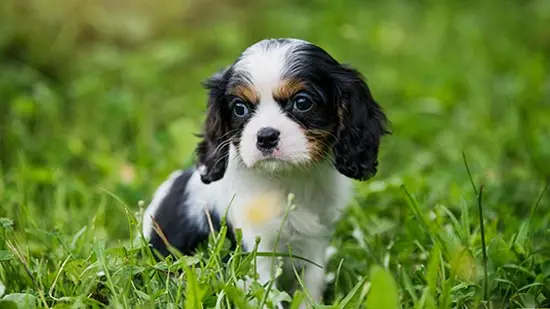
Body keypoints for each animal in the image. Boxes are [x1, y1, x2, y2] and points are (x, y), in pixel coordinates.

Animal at [144, 37, 390, 306]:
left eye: (302, 102)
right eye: (239, 108)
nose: (266, 137)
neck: (287, 179)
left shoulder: (315, 243)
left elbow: (310, 283)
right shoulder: (255, 247)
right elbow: (265, 291)